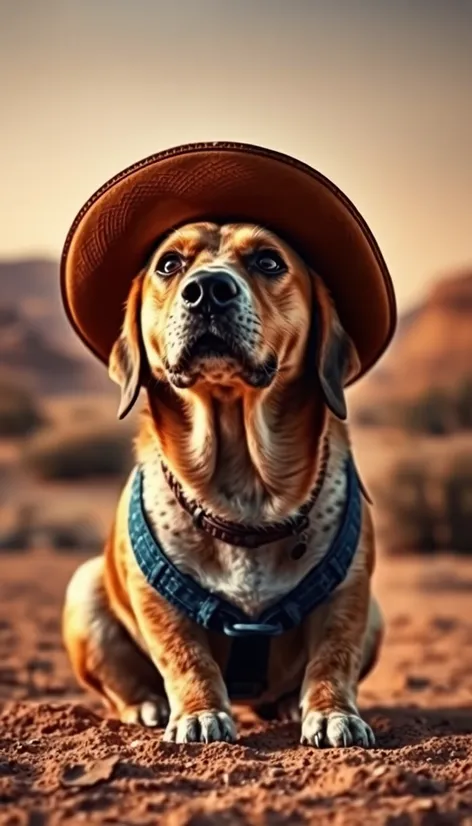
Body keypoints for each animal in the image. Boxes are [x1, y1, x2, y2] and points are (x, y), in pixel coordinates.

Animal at [61, 220, 384, 748]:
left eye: (268, 261)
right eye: (169, 264)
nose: (208, 290)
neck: (244, 490)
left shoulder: (350, 593)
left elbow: (333, 659)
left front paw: (332, 713)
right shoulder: (156, 601)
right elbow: (185, 657)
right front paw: (199, 712)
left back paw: (287, 705)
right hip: (84, 589)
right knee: (125, 683)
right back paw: (146, 706)